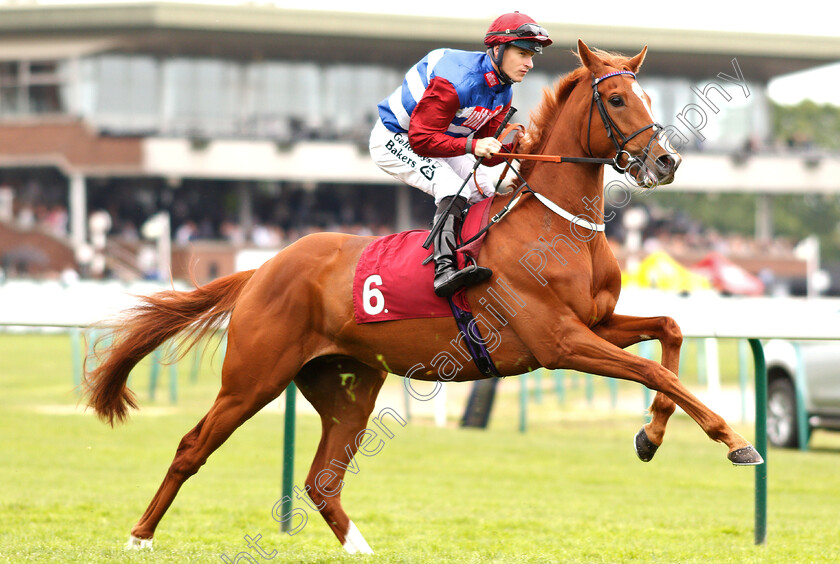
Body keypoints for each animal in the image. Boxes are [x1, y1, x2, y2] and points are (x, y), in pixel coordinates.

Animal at [85, 40, 760, 556]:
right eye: (617, 99)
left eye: (650, 98)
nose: (666, 161)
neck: (555, 225)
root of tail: (263, 268)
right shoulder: (560, 341)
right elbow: (656, 370)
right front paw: (734, 440)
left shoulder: (596, 322)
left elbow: (669, 330)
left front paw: (651, 436)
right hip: (253, 377)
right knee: (192, 446)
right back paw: (140, 536)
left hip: (348, 386)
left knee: (322, 481)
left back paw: (361, 548)